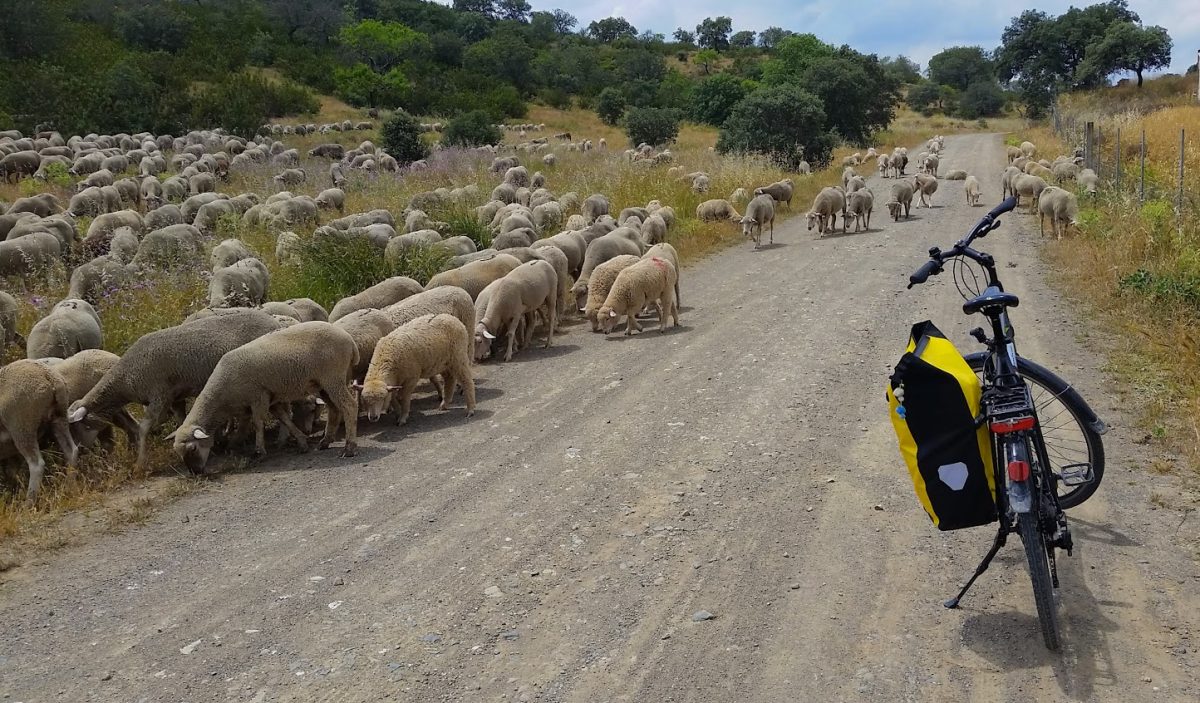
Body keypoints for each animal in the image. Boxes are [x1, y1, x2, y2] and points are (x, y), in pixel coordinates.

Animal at [0, 360, 78, 501]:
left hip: (22, 426)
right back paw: (70, 487)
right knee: (71, 451)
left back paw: (29, 501)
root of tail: (49, 377)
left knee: (36, 465)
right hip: (59, 418)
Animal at [68, 309, 286, 468]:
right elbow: (181, 420)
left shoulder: (159, 396)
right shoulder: (175, 397)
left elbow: (143, 429)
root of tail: (274, 322)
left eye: (83, 425)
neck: (125, 378)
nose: (82, 450)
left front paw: (140, 463)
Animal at [172, 322, 359, 470]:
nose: (196, 472)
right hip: (323, 384)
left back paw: (349, 448)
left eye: (193, 448)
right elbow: (285, 419)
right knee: (335, 409)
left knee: (349, 405)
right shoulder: (271, 398)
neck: (221, 394)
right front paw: (302, 443)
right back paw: (325, 442)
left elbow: (258, 424)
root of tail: (349, 340)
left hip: (333, 377)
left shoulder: (258, 396)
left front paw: (259, 452)